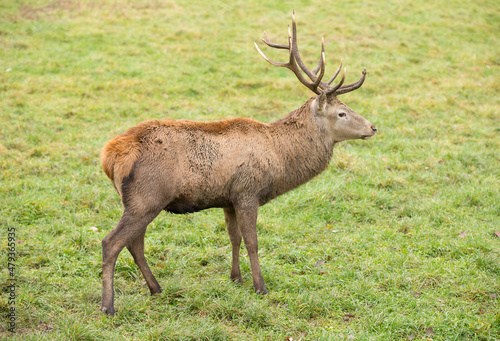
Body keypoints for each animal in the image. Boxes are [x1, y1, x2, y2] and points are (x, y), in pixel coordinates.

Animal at [99, 13, 376, 316]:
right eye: (342, 113)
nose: (373, 127)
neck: (279, 158)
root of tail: (110, 155)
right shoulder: (247, 191)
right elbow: (252, 242)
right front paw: (260, 287)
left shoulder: (228, 198)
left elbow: (234, 237)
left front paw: (236, 278)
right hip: (147, 196)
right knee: (112, 242)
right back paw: (108, 305)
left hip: (139, 200)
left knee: (135, 243)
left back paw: (156, 288)